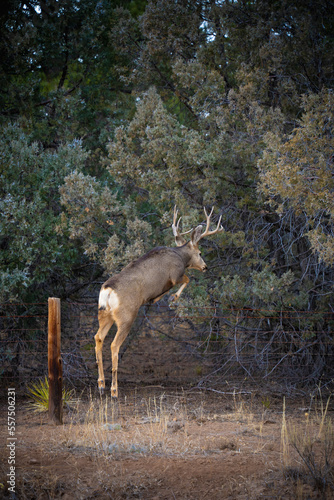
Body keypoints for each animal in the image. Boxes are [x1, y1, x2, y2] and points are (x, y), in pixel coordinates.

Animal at [94, 205, 224, 396]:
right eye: (200, 253)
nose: (205, 267)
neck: (179, 256)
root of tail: (108, 291)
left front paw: (157, 299)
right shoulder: (175, 274)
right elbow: (186, 279)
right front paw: (172, 297)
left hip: (104, 315)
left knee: (98, 338)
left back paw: (101, 384)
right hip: (126, 316)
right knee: (114, 345)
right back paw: (114, 390)